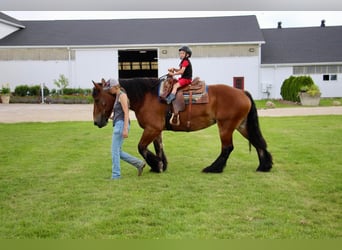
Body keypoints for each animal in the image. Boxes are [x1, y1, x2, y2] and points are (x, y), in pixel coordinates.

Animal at [91, 78, 272, 174]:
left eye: (98, 100)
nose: (96, 122)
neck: (146, 98)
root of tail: (242, 92)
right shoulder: (156, 130)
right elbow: (158, 148)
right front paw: (161, 165)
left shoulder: (151, 129)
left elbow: (141, 147)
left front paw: (156, 165)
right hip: (241, 125)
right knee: (258, 142)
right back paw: (264, 166)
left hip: (226, 126)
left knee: (227, 148)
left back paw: (213, 168)